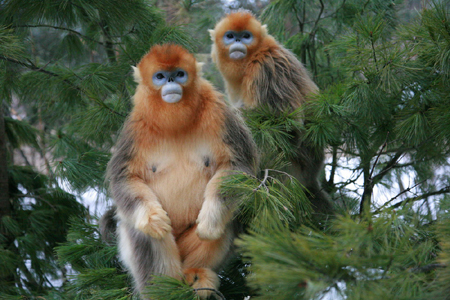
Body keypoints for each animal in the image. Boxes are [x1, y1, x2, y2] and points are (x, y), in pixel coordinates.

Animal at [106, 44, 256, 298]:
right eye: (159, 76)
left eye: (179, 74)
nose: (170, 82)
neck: (174, 123)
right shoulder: (135, 128)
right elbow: (123, 178)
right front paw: (152, 218)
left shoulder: (219, 112)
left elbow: (239, 165)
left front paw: (211, 219)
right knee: (141, 230)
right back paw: (163, 288)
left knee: (231, 214)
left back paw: (196, 274)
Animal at [209, 10, 332, 214]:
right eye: (230, 36)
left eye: (246, 36)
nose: (238, 41)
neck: (252, 58)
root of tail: (312, 174)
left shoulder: (266, 67)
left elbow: (287, 124)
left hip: (294, 164)